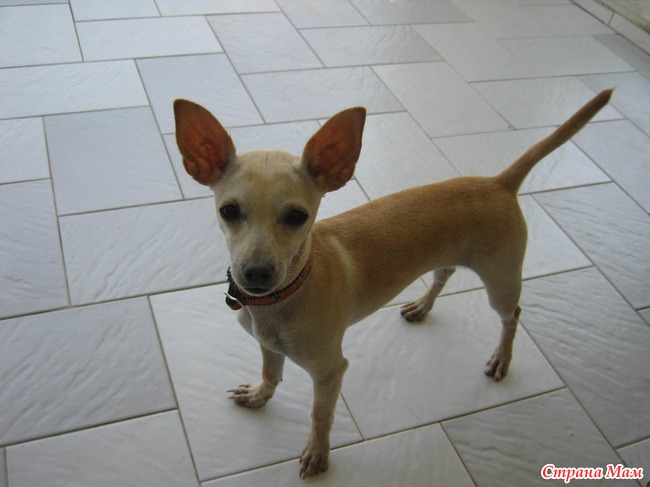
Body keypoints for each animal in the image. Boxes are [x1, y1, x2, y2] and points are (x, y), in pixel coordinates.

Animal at [173, 89, 612, 479]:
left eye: (298, 216)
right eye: (229, 211)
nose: (256, 273)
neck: (286, 296)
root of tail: (498, 182)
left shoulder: (330, 371)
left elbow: (320, 415)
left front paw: (318, 454)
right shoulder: (267, 344)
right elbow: (271, 373)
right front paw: (260, 395)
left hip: (501, 281)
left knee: (512, 314)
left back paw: (502, 357)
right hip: (449, 257)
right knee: (444, 275)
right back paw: (423, 306)